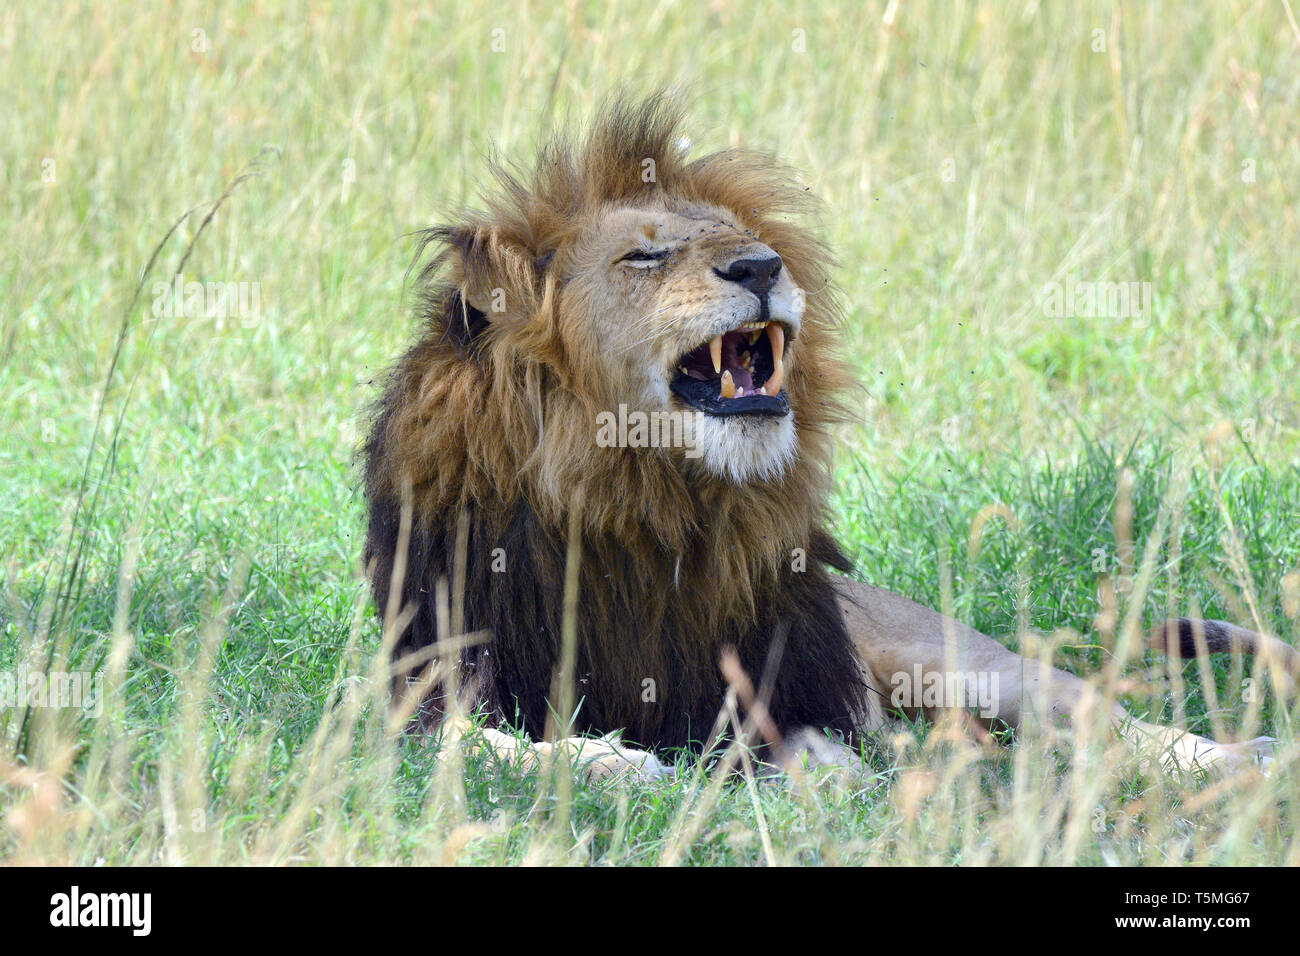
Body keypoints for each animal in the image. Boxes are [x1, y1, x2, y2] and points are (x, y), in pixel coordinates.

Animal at [361, 95, 1294, 785]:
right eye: (644, 258)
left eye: (742, 240)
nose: (762, 267)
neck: (641, 493)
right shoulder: (425, 685)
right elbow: (481, 745)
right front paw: (610, 762)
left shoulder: (792, 681)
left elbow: (817, 740)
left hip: (967, 663)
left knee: (1106, 717)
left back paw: (1233, 759)